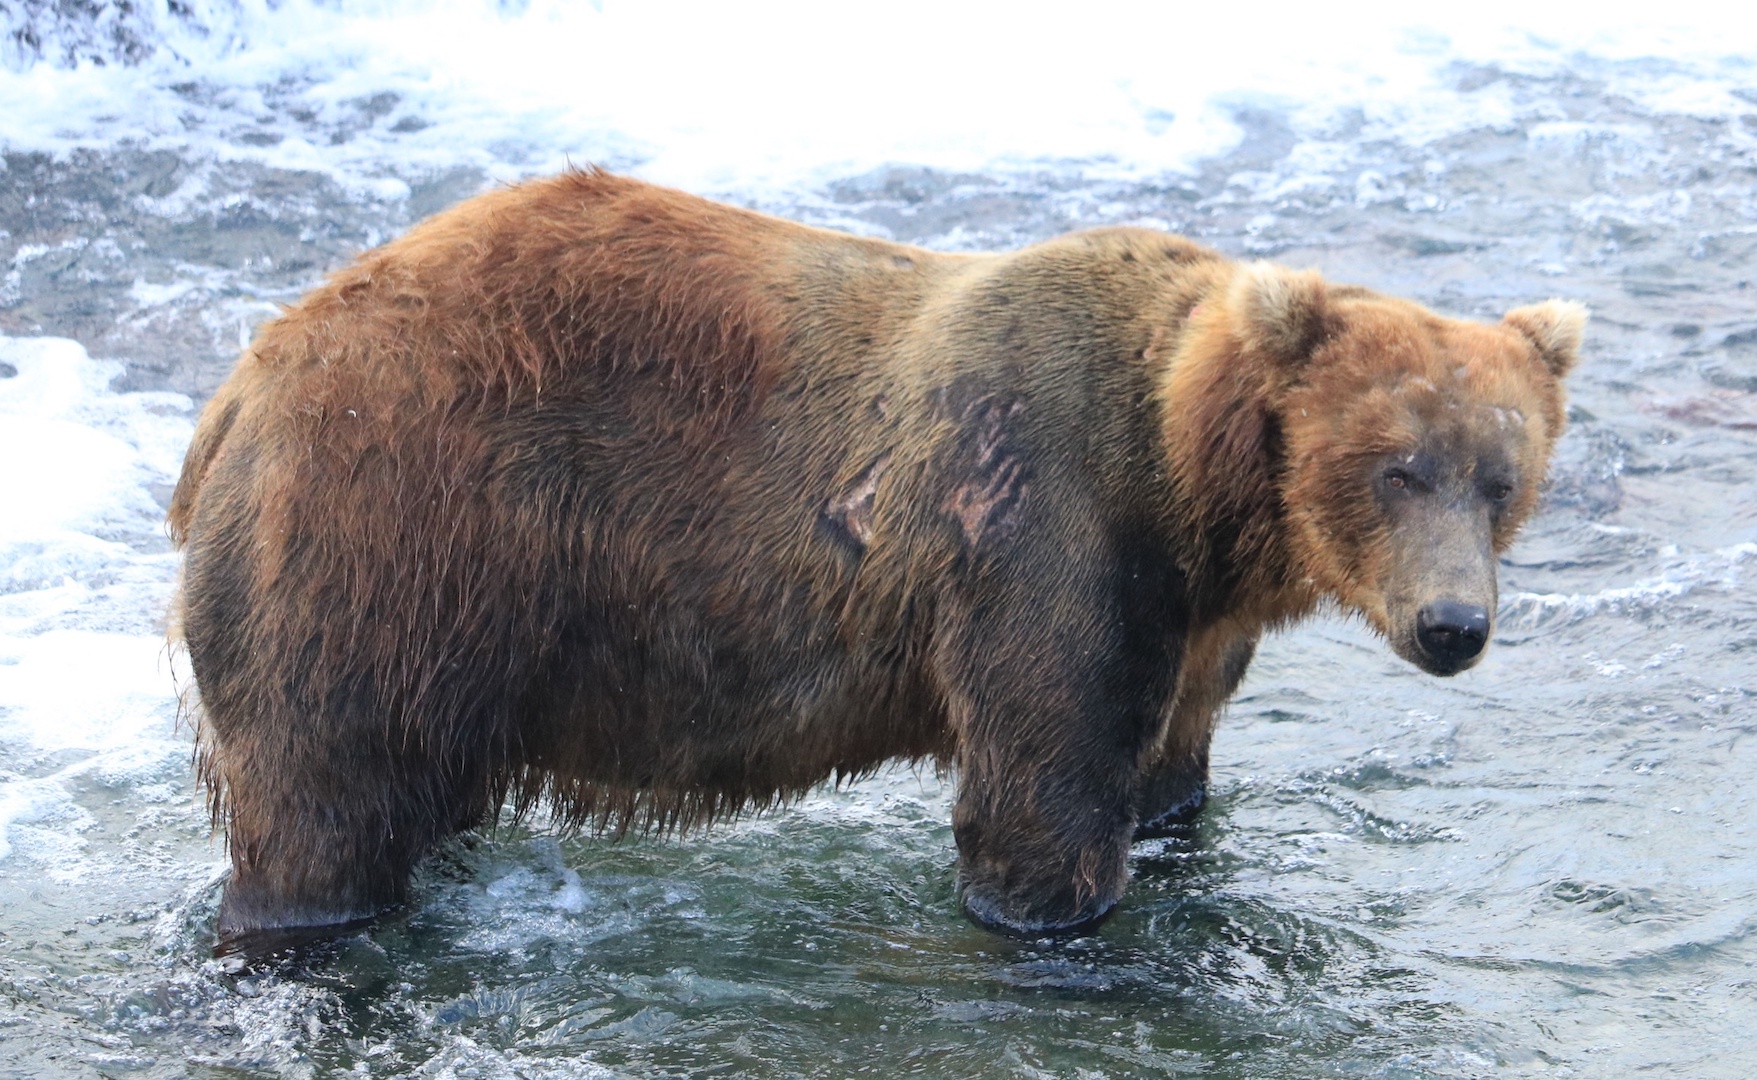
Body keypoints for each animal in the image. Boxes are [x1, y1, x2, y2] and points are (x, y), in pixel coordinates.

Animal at [167, 169, 1585, 953]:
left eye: (1500, 476)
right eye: (1395, 465)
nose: (1452, 624)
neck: (1195, 491)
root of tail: (244, 379)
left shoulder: (1193, 623)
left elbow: (1169, 772)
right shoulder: (1046, 530)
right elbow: (1040, 801)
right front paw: (1054, 922)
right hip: (384, 536)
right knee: (321, 799)